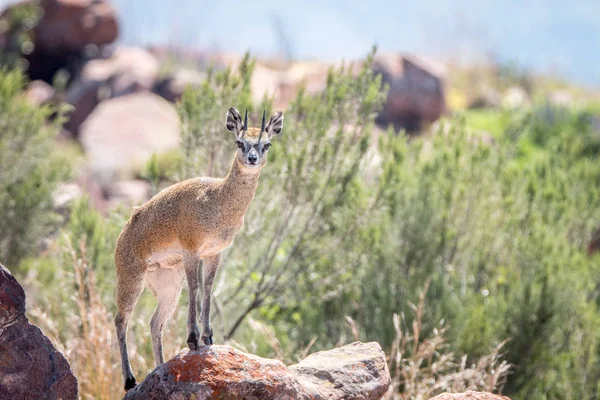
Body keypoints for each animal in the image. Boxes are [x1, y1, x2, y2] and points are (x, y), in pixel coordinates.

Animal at [114, 107, 284, 390]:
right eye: (239, 142)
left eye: (266, 144)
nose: (252, 159)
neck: (217, 200)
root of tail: (123, 233)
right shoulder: (191, 250)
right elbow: (195, 287)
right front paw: (193, 337)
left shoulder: (214, 252)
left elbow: (208, 287)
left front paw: (208, 337)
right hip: (131, 279)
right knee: (121, 320)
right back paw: (129, 380)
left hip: (168, 283)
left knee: (154, 322)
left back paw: (159, 368)